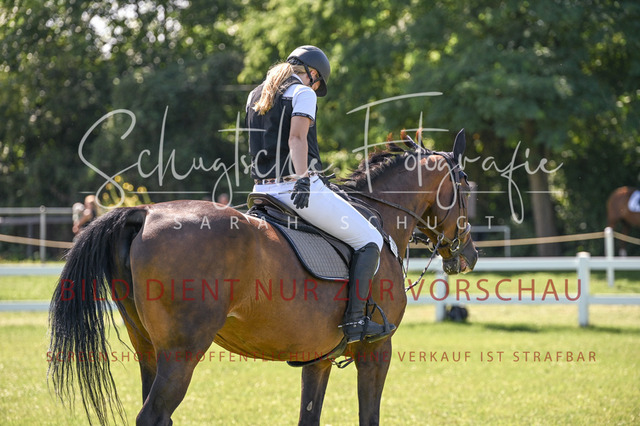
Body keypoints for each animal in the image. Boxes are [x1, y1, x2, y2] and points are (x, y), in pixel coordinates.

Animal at [48, 129, 478, 425]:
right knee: (154, 415)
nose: (470, 256)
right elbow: (368, 417)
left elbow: (309, 417)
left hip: (148, 349)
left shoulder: (318, 359)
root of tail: (146, 213)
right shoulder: (376, 351)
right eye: (466, 188)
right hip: (182, 353)